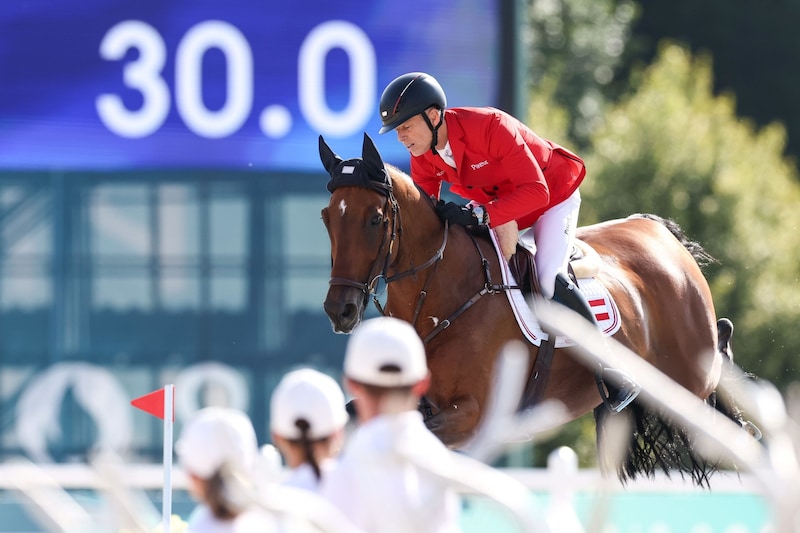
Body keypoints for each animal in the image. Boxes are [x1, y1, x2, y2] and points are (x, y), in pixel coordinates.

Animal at [318, 132, 752, 482]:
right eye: (326, 218)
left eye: (375, 220)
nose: (340, 311)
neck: (440, 296)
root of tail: (660, 233)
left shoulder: (474, 415)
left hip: (689, 377)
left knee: (716, 365)